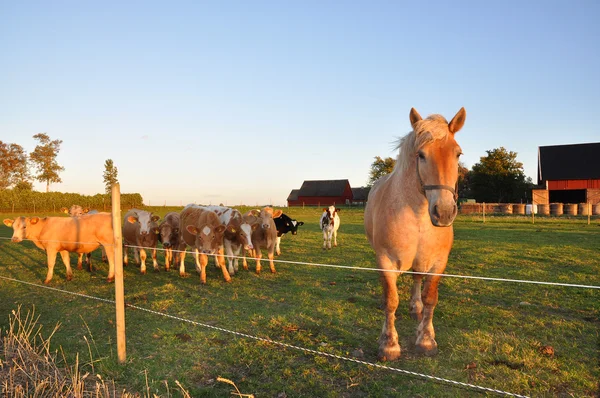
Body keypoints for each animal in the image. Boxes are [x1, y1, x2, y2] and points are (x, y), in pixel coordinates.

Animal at [364, 106, 466, 360]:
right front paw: (389, 344)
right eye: (421, 155)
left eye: (458, 154)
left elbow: (430, 298)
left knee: (417, 278)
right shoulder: (385, 261)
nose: (444, 212)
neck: (417, 216)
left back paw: (415, 308)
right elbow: (391, 300)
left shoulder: (438, 262)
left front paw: (426, 339)